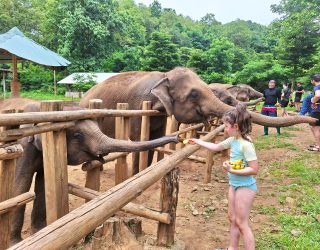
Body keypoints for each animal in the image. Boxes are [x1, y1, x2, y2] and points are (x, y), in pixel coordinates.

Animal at [0, 98, 178, 244]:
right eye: (78, 135)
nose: (176, 138)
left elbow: (43, 183)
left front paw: (40, 231)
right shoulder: (23, 146)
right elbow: (20, 184)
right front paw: (15, 243)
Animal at [80, 67, 318, 175]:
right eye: (194, 94)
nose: (315, 121)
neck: (164, 75)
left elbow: (157, 139)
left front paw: (150, 171)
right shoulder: (140, 107)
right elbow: (139, 141)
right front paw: (137, 175)